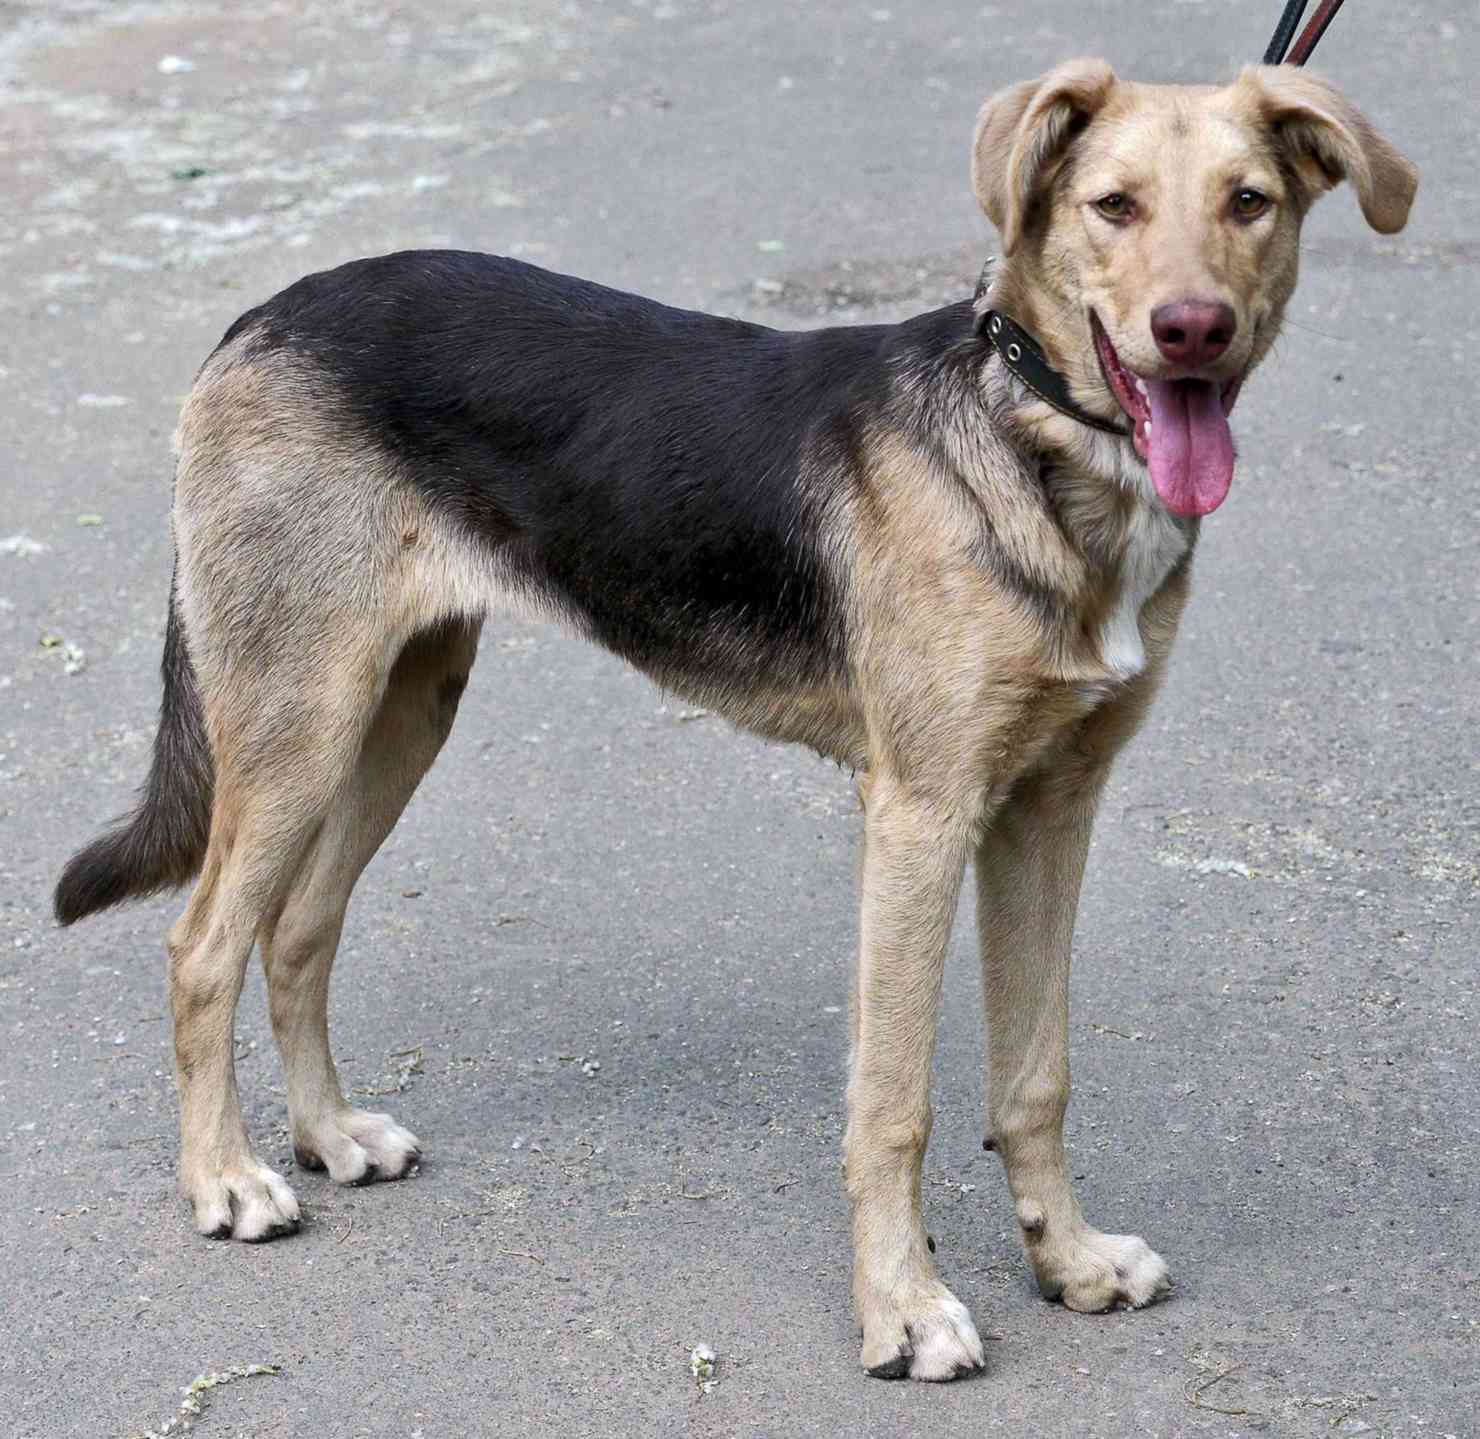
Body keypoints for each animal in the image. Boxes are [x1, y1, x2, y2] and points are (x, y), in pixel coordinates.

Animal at [57, 58, 1414, 1385]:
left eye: (1249, 202)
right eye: (1112, 206)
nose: (1192, 331)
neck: (1030, 448)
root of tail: (263, 313)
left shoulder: (1048, 807)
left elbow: (1035, 1076)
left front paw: (1068, 1262)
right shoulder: (922, 817)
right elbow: (896, 1102)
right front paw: (903, 1311)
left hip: (400, 708)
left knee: (298, 926)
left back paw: (331, 1133)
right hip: (300, 716)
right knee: (202, 945)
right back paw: (228, 1179)